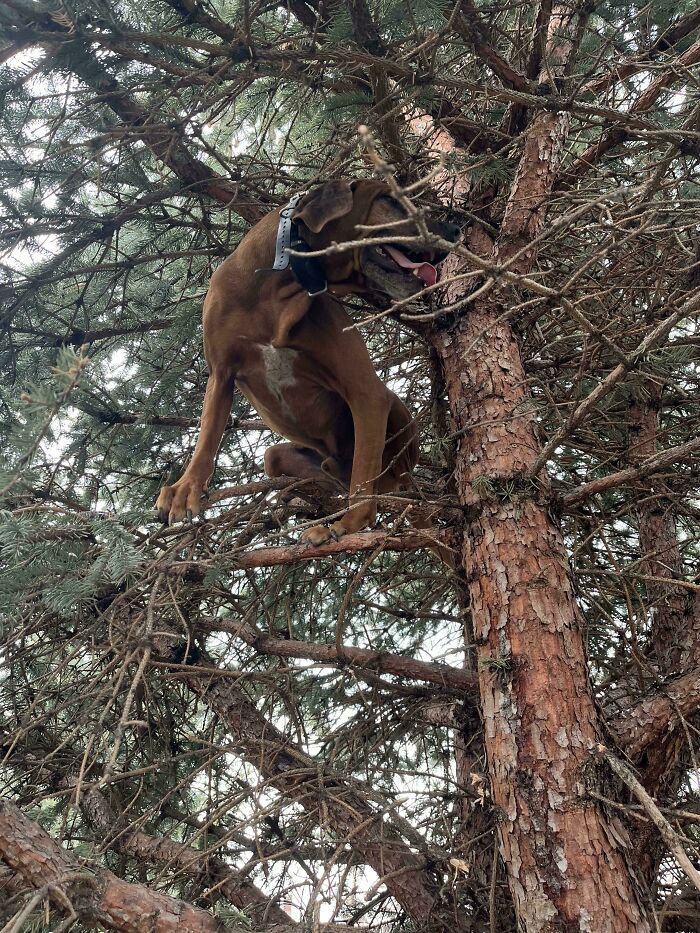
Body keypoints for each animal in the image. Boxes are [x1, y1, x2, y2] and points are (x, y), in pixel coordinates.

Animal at [158, 178, 462, 544]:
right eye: (390, 200)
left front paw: (349, 524)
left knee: (369, 480)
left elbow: (363, 481)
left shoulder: (367, 393)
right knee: (304, 469)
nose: (456, 229)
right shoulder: (220, 373)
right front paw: (184, 488)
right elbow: (206, 439)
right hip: (279, 457)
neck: (280, 289)